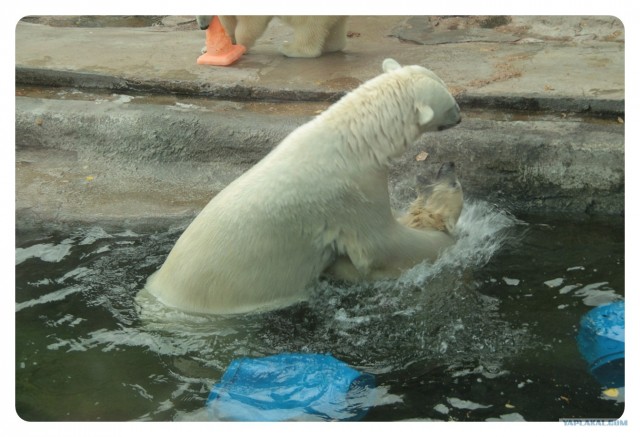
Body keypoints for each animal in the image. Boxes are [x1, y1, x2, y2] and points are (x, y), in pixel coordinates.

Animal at [195, 15, 348, 58]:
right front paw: (206, 49)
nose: (203, 27)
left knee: (308, 25)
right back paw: (331, 46)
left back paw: (290, 49)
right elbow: (227, 22)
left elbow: (251, 23)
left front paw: (240, 47)